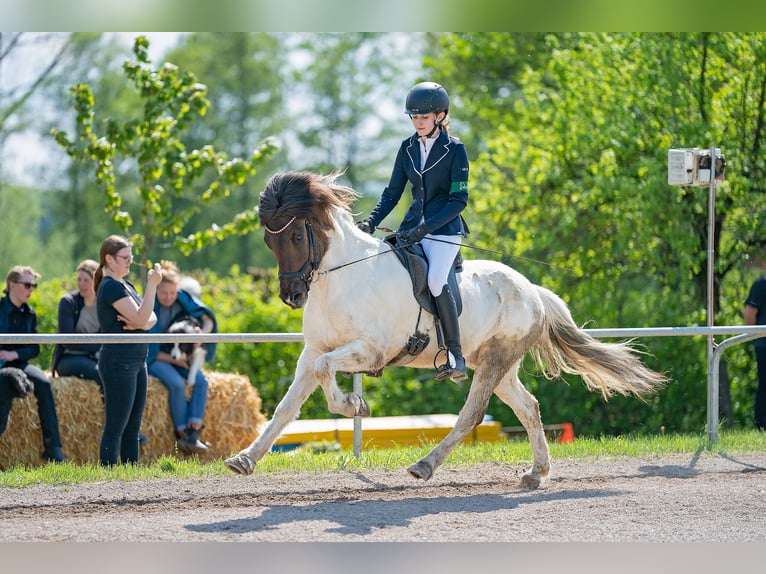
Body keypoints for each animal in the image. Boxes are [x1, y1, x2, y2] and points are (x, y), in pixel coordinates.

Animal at [225, 172, 668, 490]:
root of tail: (533, 291)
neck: (340, 279)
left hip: (493, 363)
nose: (292, 296)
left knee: (471, 415)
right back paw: (536, 474)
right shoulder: (313, 350)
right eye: (269, 240)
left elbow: (326, 375)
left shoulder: (370, 350)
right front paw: (245, 459)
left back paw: (424, 466)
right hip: (500, 366)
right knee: (529, 408)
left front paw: (355, 406)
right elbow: (287, 406)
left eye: (296, 234)